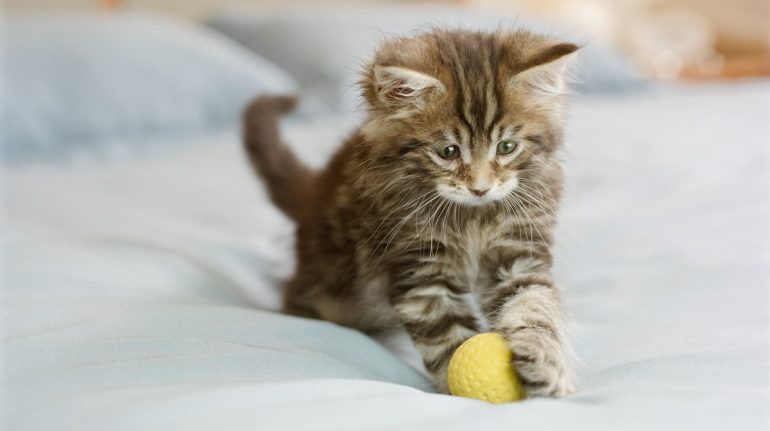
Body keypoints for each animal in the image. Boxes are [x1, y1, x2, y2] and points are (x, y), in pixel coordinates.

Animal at [244, 28, 576, 396]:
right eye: (448, 152)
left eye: (507, 147)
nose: (480, 188)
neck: (473, 217)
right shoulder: (420, 270)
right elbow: (447, 334)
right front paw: (456, 384)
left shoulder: (518, 251)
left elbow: (534, 305)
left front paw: (545, 362)